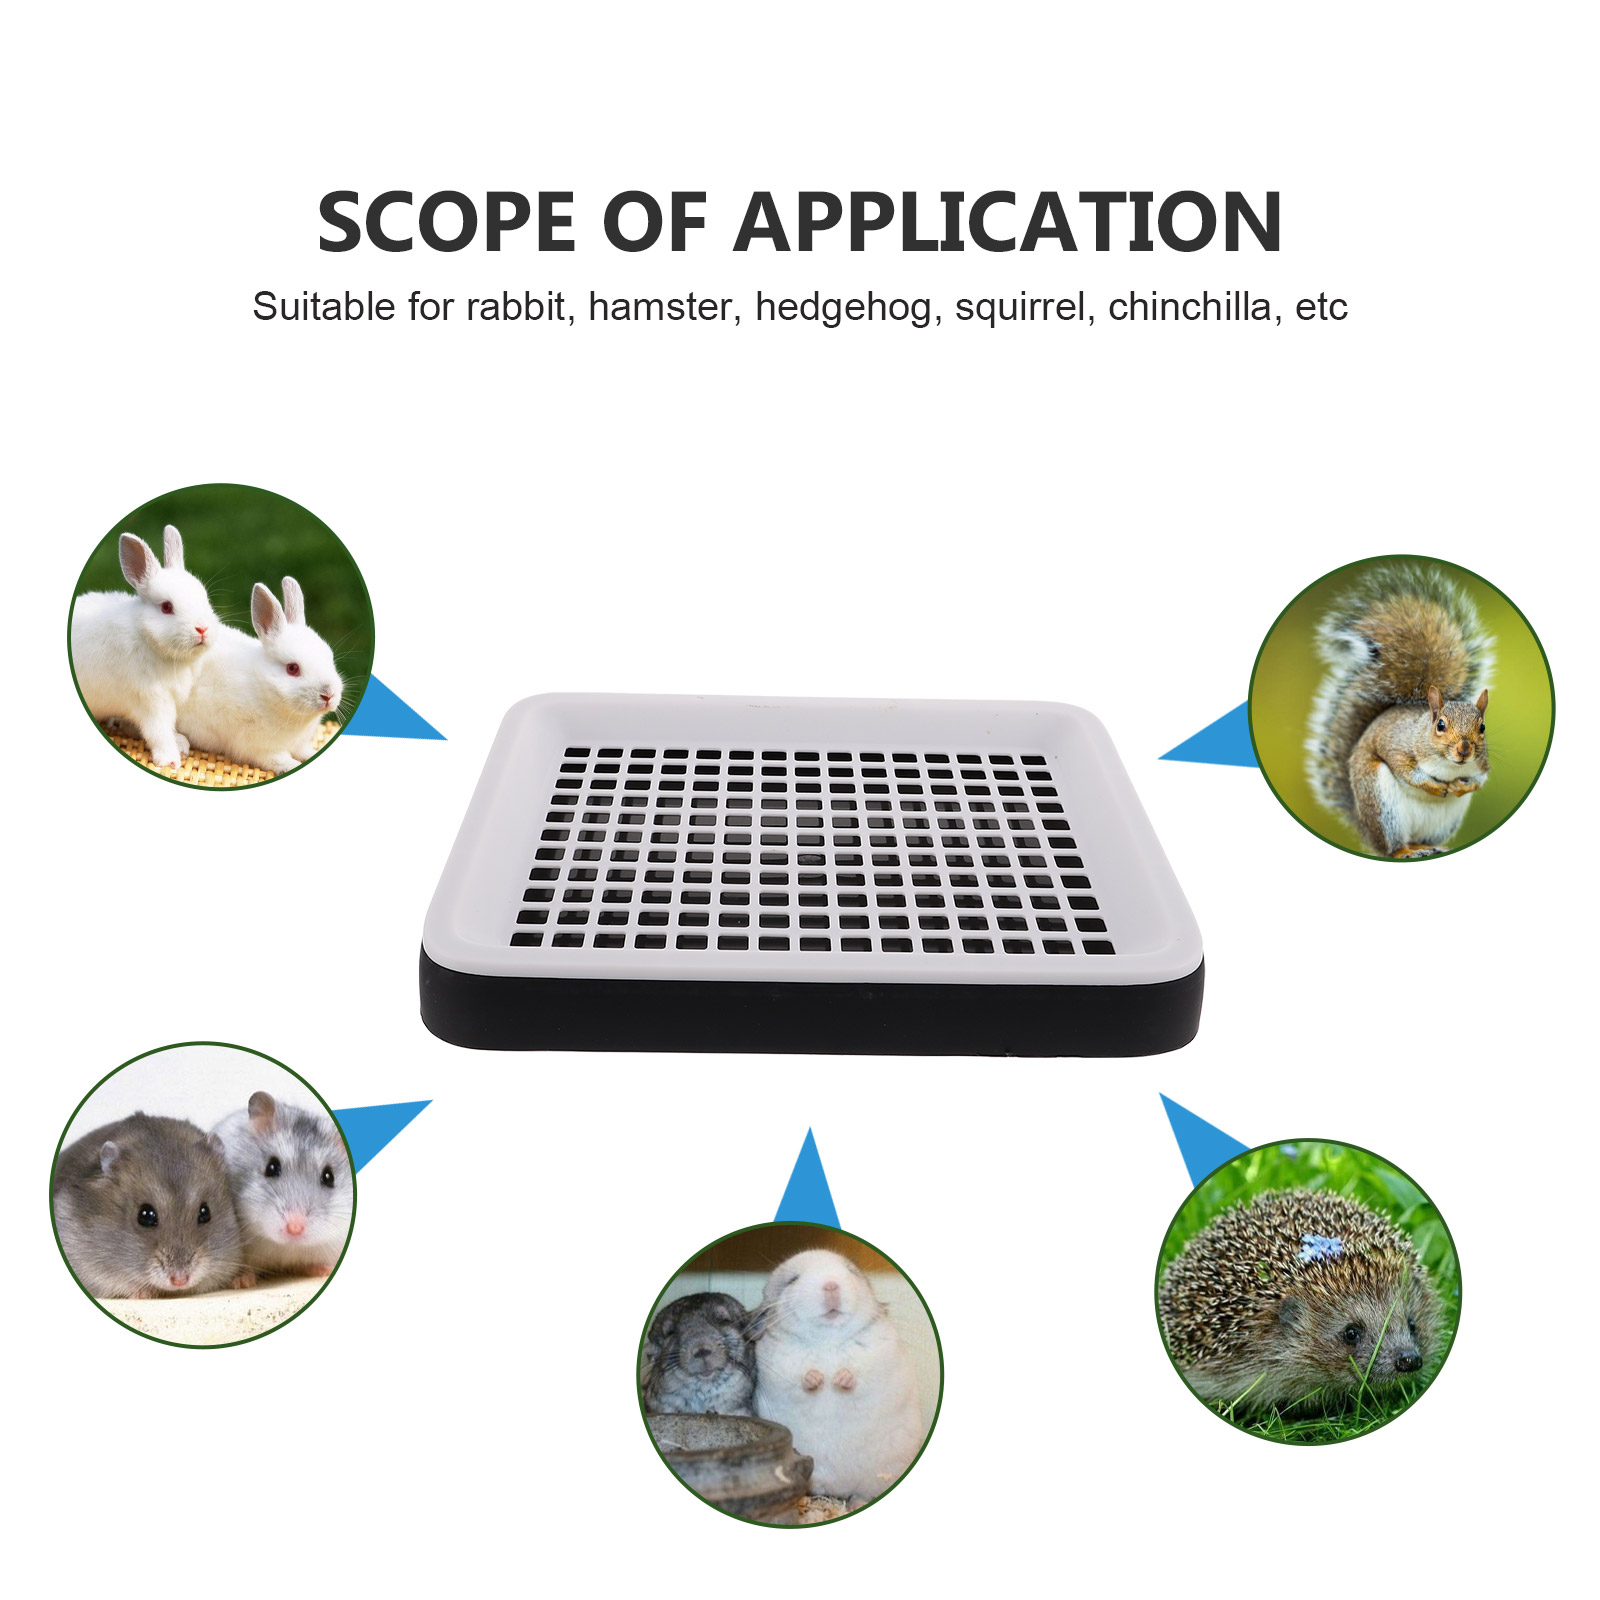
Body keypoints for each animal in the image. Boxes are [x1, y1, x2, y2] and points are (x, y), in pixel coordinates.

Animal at [70, 526, 219, 767]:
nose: (202, 629)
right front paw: (170, 760)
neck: (148, 637)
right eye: (167, 607)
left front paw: (181, 743)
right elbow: (159, 731)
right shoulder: (152, 700)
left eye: (205, 598)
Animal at [177, 576, 343, 773]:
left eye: (329, 657)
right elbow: (279, 760)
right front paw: (291, 765)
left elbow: (305, 752)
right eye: (292, 668)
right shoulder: (261, 749)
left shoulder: (300, 744)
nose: (328, 694)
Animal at [211, 1091, 352, 1284]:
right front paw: (242, 1281)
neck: (286, 1246)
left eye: (329, 1177)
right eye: (271, 1167)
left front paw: (325, 1270)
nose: (295, 1228)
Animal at [751, 1248, 922, 1505]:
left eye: (851, 1271)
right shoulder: (779, 1368)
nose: (831, 1285)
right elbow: (800, 1378)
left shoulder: (877, 1358)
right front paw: (818, 1378)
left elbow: (858, 1375)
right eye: (793, 1280)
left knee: (861, 1495)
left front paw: (839, 1379)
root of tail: (838, 1489)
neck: (827, 1339)